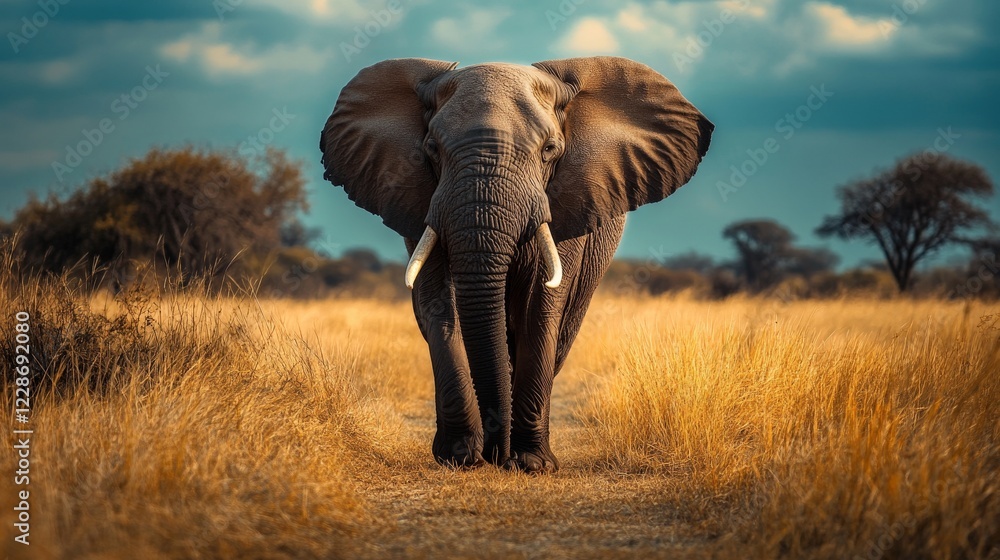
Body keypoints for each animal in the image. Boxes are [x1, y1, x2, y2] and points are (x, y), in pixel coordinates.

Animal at [319, 56, 713, 474]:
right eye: (432, 149)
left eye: (550, 149)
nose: (496, 456)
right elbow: (439, 305)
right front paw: (460, 456)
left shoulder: (570, 201)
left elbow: (541, 305)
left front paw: (532, 463)